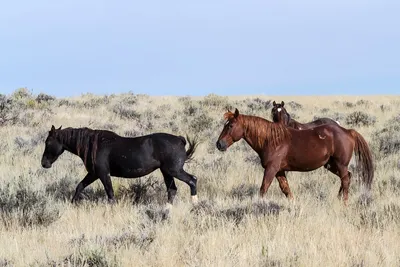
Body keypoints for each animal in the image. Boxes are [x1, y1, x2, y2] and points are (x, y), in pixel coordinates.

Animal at [40, 125, 200, 205]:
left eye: (48, 142)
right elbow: (79, 186)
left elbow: (110, 194)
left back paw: (195, 204)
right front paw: (73, 204)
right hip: (166, 172)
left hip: (174, 170)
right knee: (172, 190)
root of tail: (179, 140)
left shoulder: (103, 174)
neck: (93, 144)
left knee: (192, 180)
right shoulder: (93, 173)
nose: (44, 163)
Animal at [217, 108, 374, 203]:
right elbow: (286, 190)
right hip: (331, 165)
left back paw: (344, 202)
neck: (271, 139)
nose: (219, 144)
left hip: (340, 165)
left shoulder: (271, 169)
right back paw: (339, 198)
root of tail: (348, 131)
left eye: (230, 126)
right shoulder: (279, 171)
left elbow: (263, 188)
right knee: (347, 177)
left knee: (346, 180)